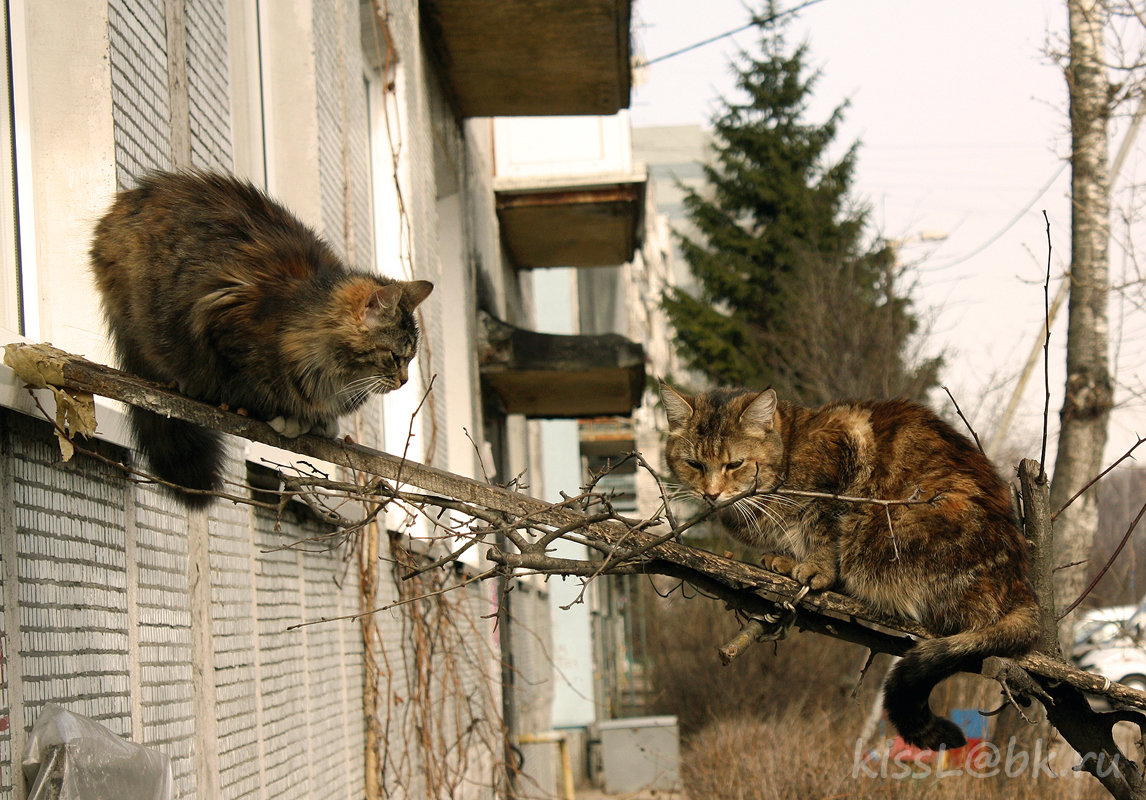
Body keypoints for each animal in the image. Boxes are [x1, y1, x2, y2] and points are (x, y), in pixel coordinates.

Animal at [90, 171, 433, 508]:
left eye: (410, 359)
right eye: (396, 357)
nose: (403, 380)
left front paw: (320, 421)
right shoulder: (223, 316)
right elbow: (250, 384)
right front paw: (284, 416)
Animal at [660, 380, 1045, 747]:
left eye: (734, 464)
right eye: (694, 465)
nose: (710, 493)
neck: (789, 453)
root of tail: (1022, 586)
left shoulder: (841, 463)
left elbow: (825, 526)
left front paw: (816, 568)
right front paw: (782, 558)